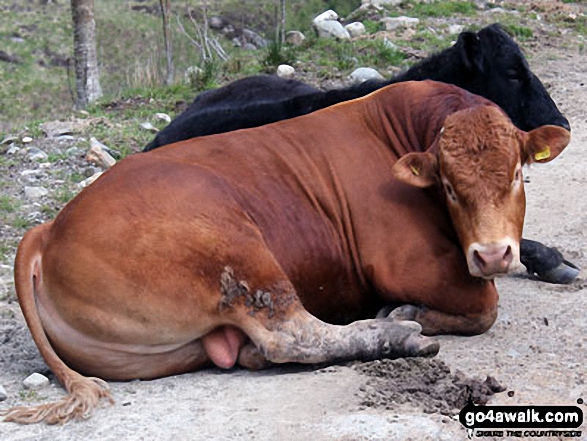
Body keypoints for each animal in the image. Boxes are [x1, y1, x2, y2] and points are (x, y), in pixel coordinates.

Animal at [0, 80, 568, 422]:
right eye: (449, 187)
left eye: (517, 175)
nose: (491, 255)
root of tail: (46, 228)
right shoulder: (406, 263)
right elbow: (485, 305)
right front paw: (410, 312)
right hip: (235, 247)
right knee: (290, 335)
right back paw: (397, 334)